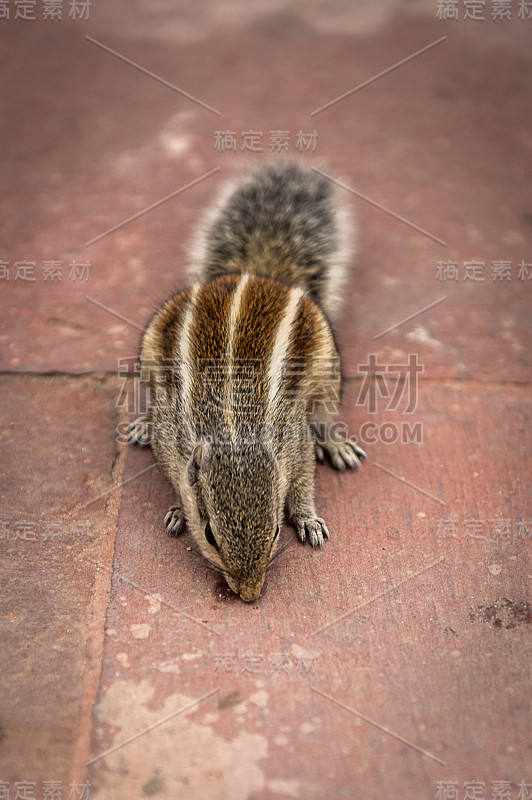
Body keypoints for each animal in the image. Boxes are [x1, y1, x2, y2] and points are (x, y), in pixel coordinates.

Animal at [128, 161, 366, 600]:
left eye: (274, 532)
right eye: (209, 534)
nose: (250, 594)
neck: (235, 428)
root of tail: (256, 271)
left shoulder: (294, 436)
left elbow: (303, 476)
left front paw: (307, 518)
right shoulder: (172, 437)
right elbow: (173, 472)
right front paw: (178, 508)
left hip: (328, 370)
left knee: (324, 414)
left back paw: (336, 443)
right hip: (151, 355)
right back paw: (140, 424)